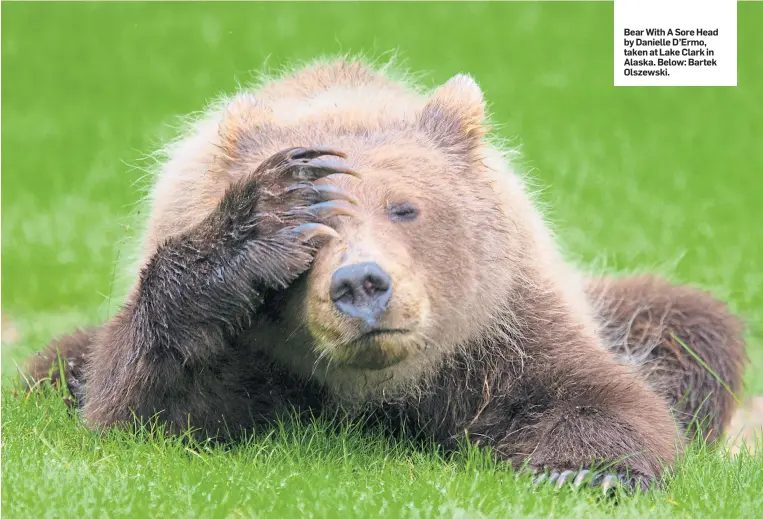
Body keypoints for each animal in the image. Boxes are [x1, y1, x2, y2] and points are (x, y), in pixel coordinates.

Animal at [23, 59, 748, 494]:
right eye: (315, 230)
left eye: (404, 207)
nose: (360, 284)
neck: (373, 388)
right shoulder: (247, 352)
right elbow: (147, 407)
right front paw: (260, 220)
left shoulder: (498, 329)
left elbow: (592, 394)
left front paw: (584, 474)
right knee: (50, 368)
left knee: (689, 326)